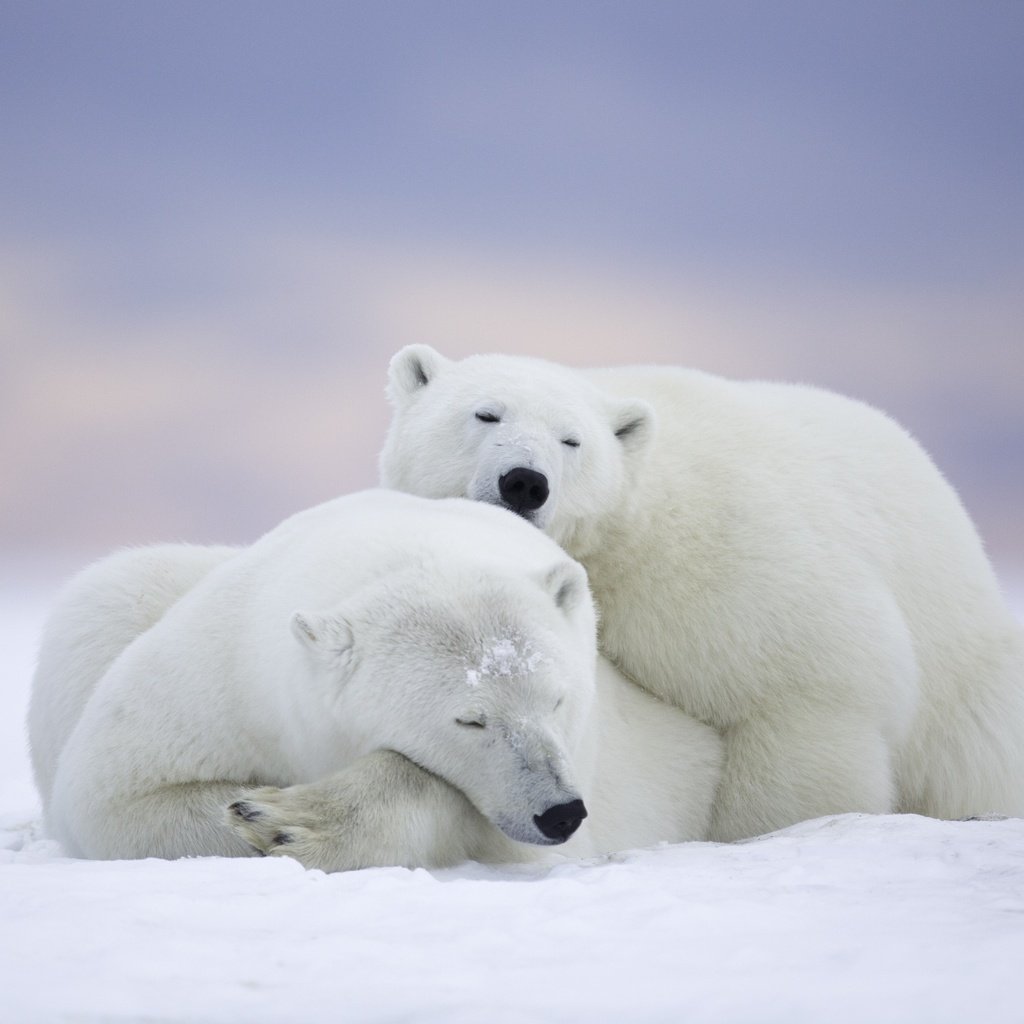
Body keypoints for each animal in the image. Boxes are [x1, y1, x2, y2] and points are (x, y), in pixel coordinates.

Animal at [29, 491, 720, 868]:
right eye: (471, 719)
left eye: (557, 699)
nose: (560, 812)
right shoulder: (224, 674)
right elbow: (113, 795)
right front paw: (257, 812)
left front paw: (290, 820)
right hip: (111, 603)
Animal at [380, 344, 1024, 839]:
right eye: (486, 414)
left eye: (572, 441)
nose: (524, 482)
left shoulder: (732, 566)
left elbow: (805, 693)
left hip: (964, 686)